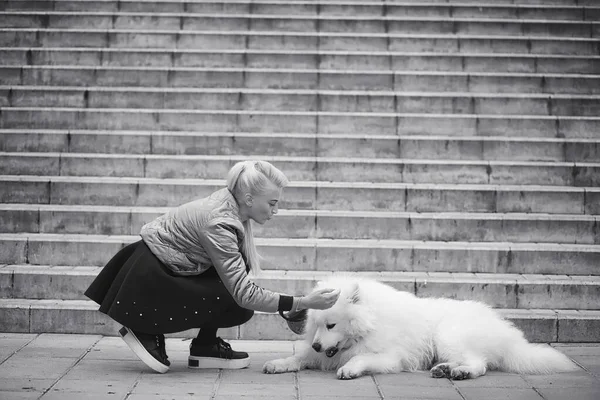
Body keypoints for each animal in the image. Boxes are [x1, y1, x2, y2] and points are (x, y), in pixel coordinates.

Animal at [262, 276, 576, 380]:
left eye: (331, 324)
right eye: (315, 326)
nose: (316, 344)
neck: (370, 323)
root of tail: (509, 335)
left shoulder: (389, 357)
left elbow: (360, 358)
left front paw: (349, 370)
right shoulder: (321, 354)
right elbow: (298, 357)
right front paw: (278, 364)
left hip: (448, 335)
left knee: (479, 364)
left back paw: (459, 372)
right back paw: (443, 369)